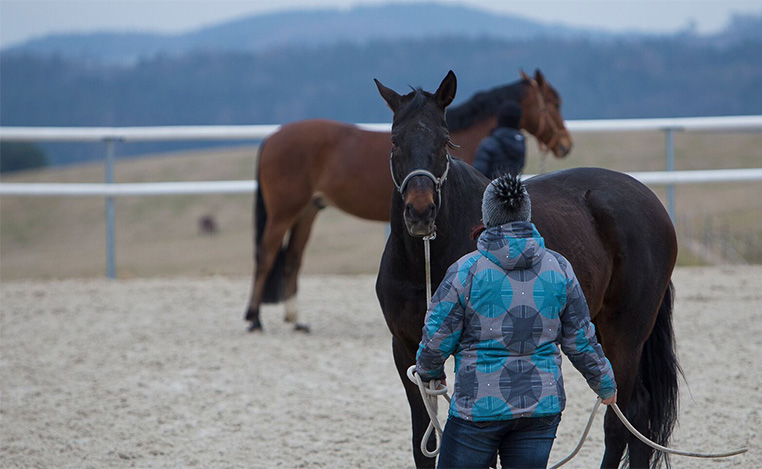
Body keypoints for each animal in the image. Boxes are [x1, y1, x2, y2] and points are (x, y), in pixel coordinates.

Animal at [243, 71, 568, 330]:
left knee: (293, 258)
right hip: (284, 212)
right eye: (553, 103)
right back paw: (254, 318)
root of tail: (272, 137)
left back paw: (295, 319)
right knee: (266, 253)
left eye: (445, 141)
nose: (565, 144)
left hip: (307, 211)